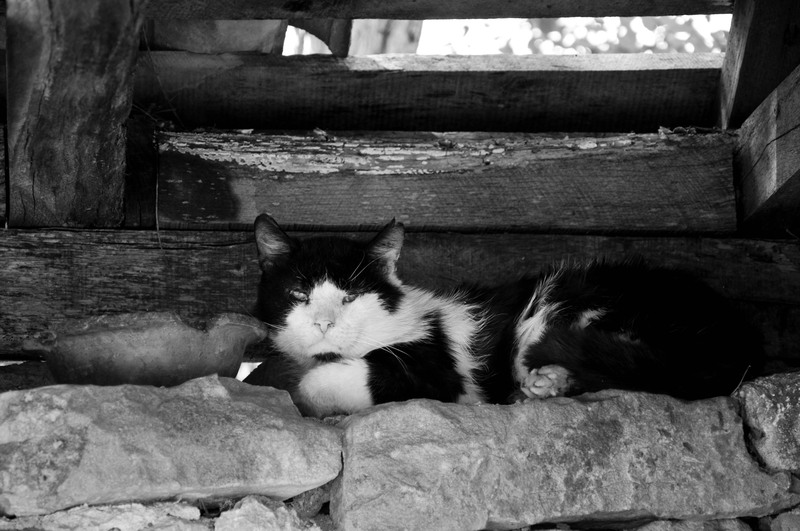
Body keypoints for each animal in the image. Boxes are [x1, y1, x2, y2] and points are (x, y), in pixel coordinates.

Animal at [244, 214, 763, 418]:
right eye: (298, 293)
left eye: (351, 296)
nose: (324, 323)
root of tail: (734, 329)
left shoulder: (434, 371)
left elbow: (320, 383)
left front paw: (308, 393)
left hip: (560, 305)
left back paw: (545, 383)